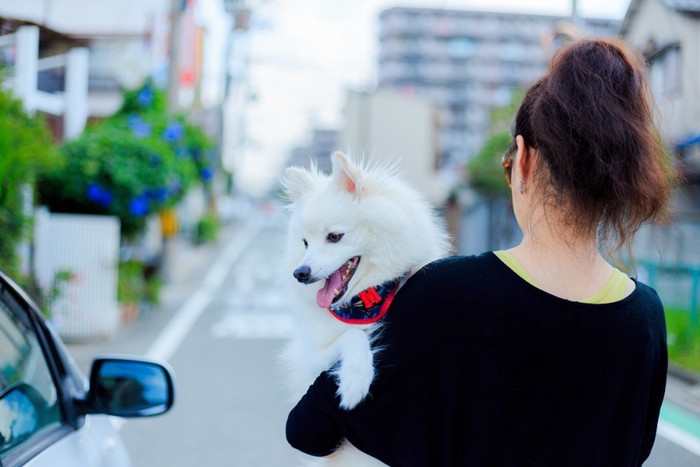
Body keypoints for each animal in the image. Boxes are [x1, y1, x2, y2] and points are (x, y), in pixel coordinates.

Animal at [282, 153, 452, 464]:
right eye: (305, 243)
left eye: (334, 237)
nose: (300, 273)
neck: (365, 299)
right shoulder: (313, 355)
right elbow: (353, 335)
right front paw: (355, 379)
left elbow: (354, 334)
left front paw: (354, 380)